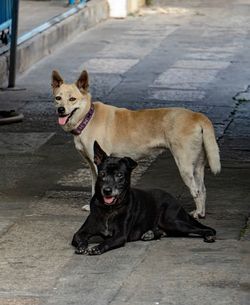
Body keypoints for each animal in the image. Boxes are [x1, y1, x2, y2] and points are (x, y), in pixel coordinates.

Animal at [51, 69, 220, 216]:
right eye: (58, 98)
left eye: (72, 99)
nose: (61, 110)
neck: (88, 118)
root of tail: (197, 115)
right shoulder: (93, 165)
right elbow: (94, 186)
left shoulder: (98, 164)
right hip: (197, 165)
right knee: (202, 190)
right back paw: (201, 213)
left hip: (184, 166)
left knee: (196, 191)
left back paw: (197, 214)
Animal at [71, 142, 216, 254]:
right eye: (102, 174)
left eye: (119, 175)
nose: (107, 191)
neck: (109, 209)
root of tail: (174, 200)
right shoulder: (81, 232)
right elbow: (79, 238)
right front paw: (82, 246)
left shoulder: (120, 236)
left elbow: (107, 242)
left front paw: (97, 248)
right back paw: (151, 233)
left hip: (172, 221)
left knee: (207, 229)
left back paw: (209, 236)